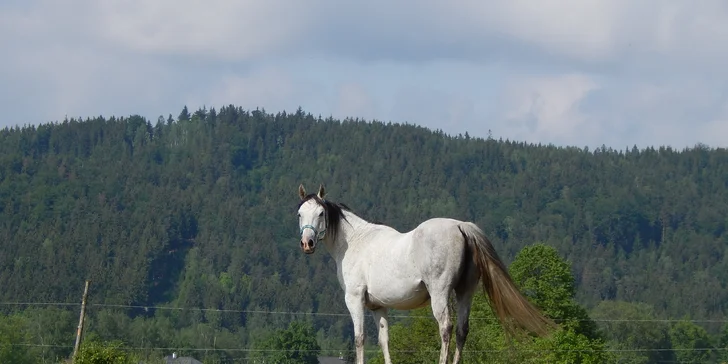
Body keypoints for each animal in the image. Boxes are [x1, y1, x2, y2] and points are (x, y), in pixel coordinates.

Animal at [296, 185, 552, 364]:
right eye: (299, 214)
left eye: (321, 213)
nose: (307, 243)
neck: (356, 240)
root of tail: (461, 226)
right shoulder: (379, 307)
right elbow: (384, 340)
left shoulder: (355, 299)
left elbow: (360, 339)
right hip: (465, 292)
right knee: (462, 330)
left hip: (440, 293)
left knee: (446, 328)